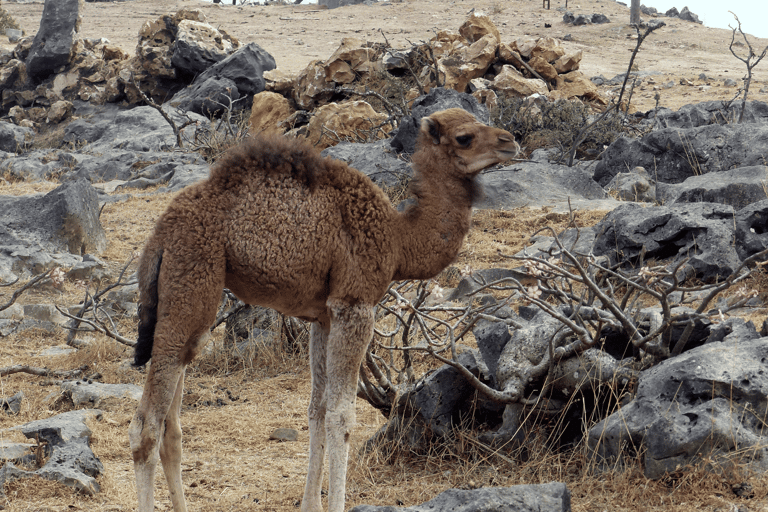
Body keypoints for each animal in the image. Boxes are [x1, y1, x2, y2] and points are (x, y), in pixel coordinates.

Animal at [129, 106, 520, 510]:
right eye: (464, 137)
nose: (510, 141)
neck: (398, 240)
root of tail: (160, 234)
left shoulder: (322, 316)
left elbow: (316, 410)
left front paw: (310, 504)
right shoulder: (355, 304)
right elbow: (341, 415)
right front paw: (335, 502)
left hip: (186, 297)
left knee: (172, 422)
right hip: (192, 274)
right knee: (146, 425)